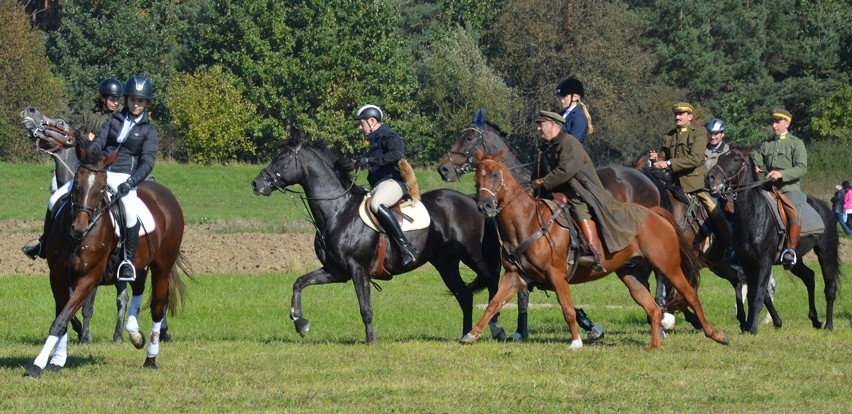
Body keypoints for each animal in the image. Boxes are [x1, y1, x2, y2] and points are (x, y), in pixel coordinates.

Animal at [23, 137, 190, 376]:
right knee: (137, 289)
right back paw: (134, 333)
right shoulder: (58, 277)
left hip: (162, 268)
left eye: (102, 187)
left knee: (158, 307)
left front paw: (37, 365)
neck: (78, 239)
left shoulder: (88, 278)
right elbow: (63, 316)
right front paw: (57, 360)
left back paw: (150, 356)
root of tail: (165, 194)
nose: (79, 227)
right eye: (77, 182)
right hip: (138, 266)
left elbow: (64, 317)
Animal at [251, 139, 506, 342]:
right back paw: (466, 333)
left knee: (492, 279)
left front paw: (371, 340)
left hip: (472, 255)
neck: (337, 211)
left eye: (282, 160)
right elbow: (299, 283)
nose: (256, 184)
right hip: (445, 263)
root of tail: (472, 200)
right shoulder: (335, 271)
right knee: (464, 295)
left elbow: (365, 307)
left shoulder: (358, 269)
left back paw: (496, 328)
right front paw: (300, 323)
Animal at [436, 109, 664, 340]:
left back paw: (663, 319)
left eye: (469, 137)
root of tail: (644, 177)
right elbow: (527, 291)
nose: (443, 169)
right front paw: (522, 329)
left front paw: (588, 326)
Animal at [462, 150, 728, 348]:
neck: (528, 221)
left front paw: (576, 341)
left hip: (668, 266)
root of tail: (654, 213)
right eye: (477, 180)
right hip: (631, 274)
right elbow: (493, 304)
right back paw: (654, 344)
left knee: (689, 294)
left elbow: (567, 309)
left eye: (495, 175)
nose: (485, 206)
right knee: (651, 307)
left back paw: (715, 334)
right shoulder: (515, 277)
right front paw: (472, 335)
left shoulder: (556, 275)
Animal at [704, 146, 840, 334]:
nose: (710, 178)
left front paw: (753, 327)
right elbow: (754, 293)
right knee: (809, 277)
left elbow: (759, 294)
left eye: (736, 159)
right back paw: (815, 320)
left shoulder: (764, 261)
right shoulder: (748, 262)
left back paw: (828, 325)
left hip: (825, 253)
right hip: (795, 260)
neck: (753, 214)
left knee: (830, 288)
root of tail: (824, 208)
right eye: (721, 158)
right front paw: (751, 325)